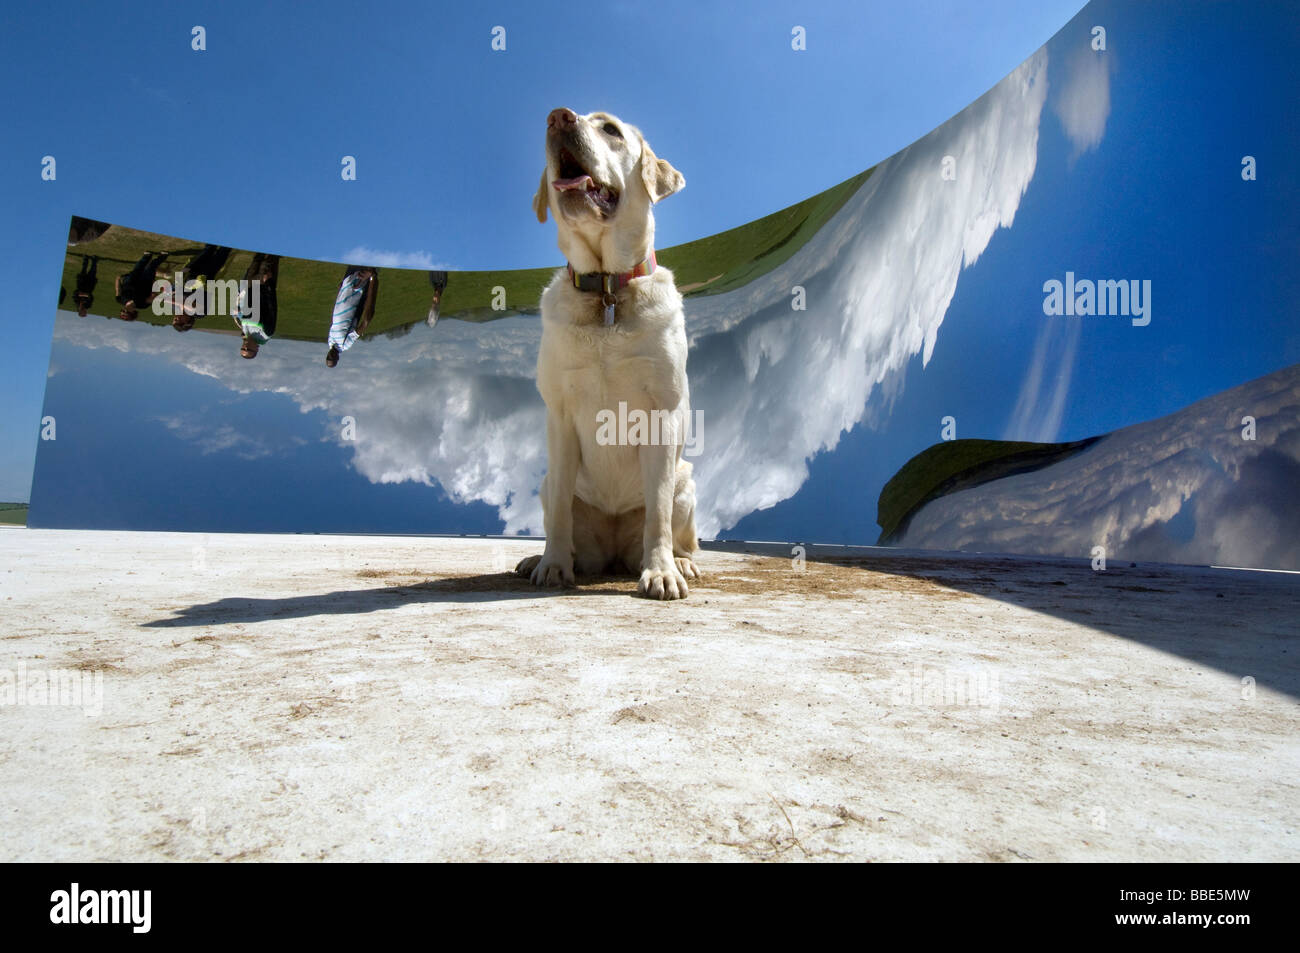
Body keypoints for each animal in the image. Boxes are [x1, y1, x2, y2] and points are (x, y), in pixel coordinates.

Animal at [517, 107, 702, 598]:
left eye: (611, 130)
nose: (557, 118)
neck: (605, 290)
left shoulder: (662, 414)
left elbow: (657, 513)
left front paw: (661, 572)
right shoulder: (560, 416)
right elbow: (561, 512)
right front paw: (553, 565)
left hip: (687, 482)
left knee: (681, 532)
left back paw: (682, 562)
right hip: (547, 484)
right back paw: (538, 558)